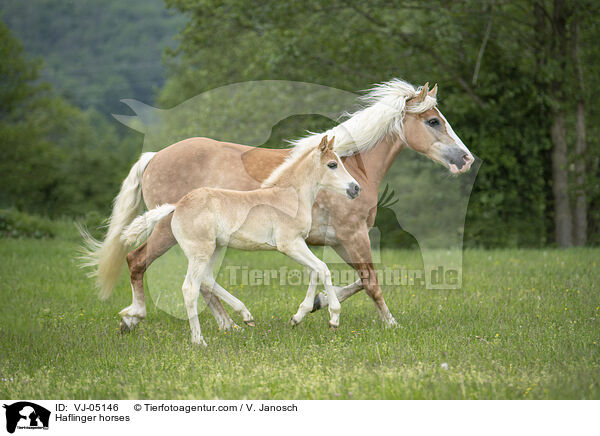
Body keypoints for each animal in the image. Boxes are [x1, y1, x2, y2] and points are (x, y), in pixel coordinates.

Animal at [120, 135, 358, 346]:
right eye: (332, 164)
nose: (356, 188)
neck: (289, 197)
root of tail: (177, 205)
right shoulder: (289, 244)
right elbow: (323, 268)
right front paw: (334, 318)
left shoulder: (299, 244)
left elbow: (314, 271)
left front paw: (298, 316)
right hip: (200, 252)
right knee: (190, 289)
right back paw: (199, 340)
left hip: (214, 249)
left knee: (207, 279)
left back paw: (245, 316)